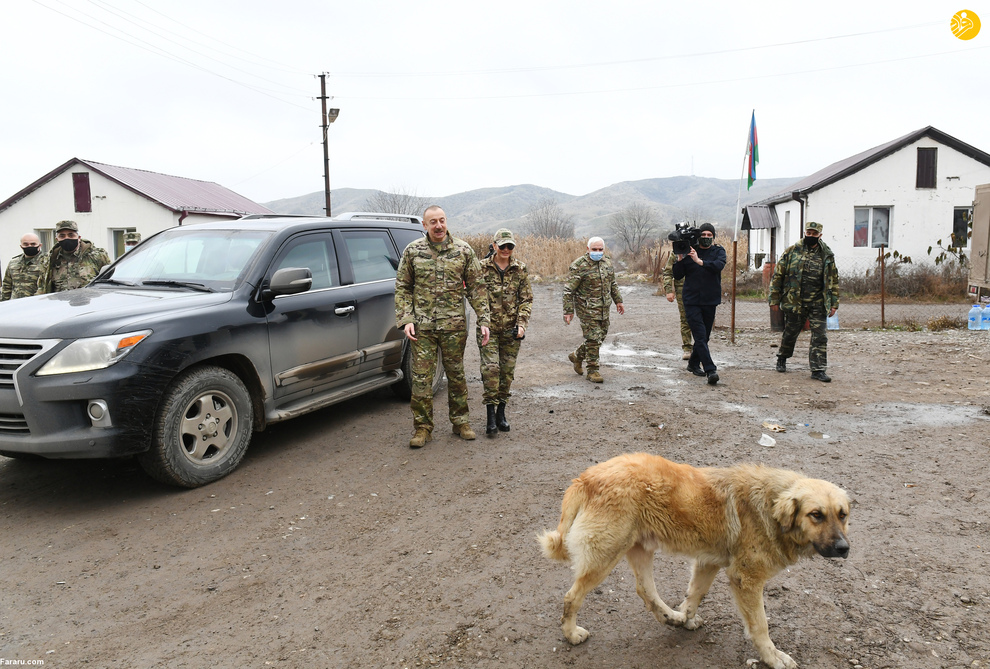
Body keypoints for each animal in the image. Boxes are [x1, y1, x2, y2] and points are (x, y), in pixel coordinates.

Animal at [540, 452, 848, 668]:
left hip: (639, 548)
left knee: (645, 589)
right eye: (816, 515)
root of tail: (585, 477)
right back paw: (571, 633)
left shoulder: (708, 562)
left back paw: (670, 617)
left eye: (842, 514)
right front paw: (773, 658)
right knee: (572, 596)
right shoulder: (745, 579)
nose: (844, 547)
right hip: (605, 555)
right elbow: (760, 626)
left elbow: (695, 594)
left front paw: (685, 618)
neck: (771, 506)